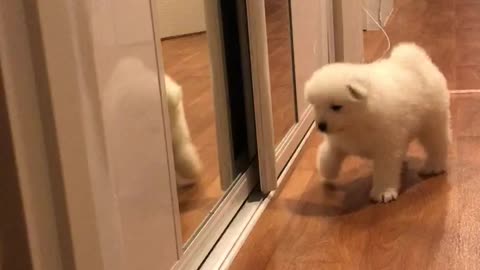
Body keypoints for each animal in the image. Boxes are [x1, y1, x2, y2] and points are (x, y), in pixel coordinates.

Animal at [304, 42, 450, 202]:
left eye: (336, 107)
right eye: (316, 106)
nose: (321, 126)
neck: (356, 121)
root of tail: (417, 59)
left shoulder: (386, 148)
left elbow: (385, 170)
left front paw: (384, 192)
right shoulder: (338, 142)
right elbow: (327, 155)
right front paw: (327, 173)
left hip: (432, 124)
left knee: (437, 145)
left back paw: (433, 166)